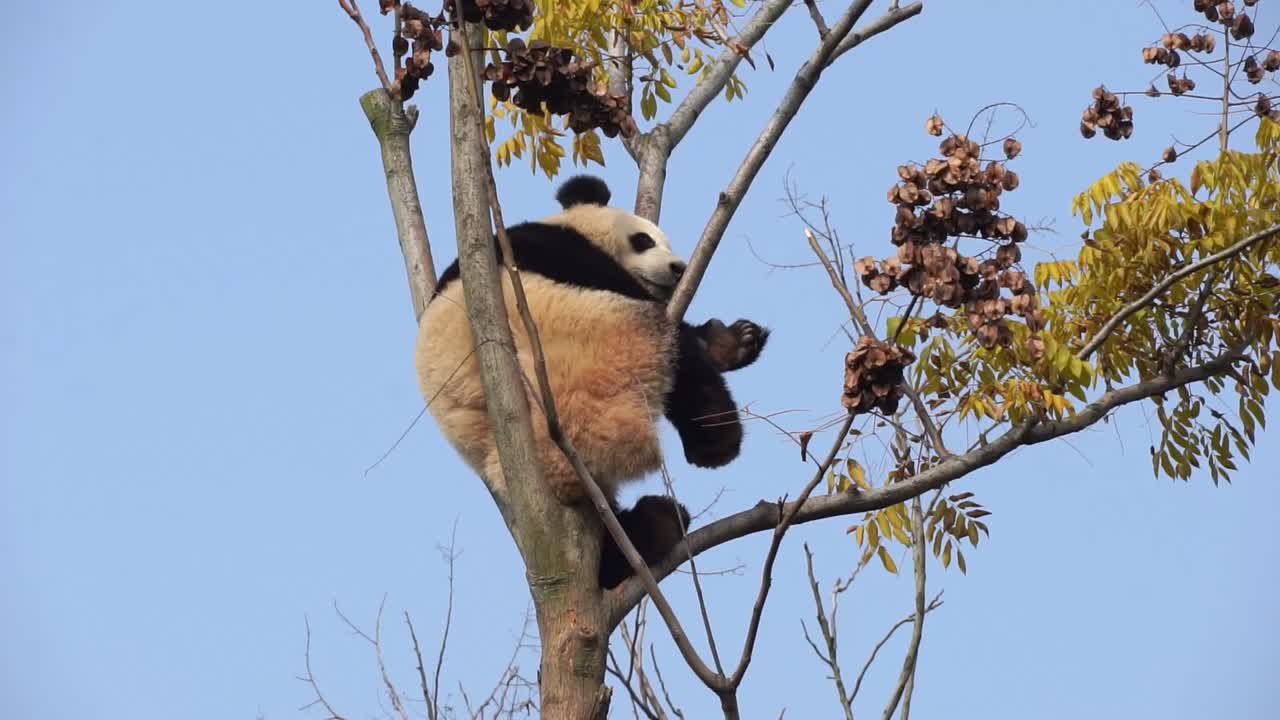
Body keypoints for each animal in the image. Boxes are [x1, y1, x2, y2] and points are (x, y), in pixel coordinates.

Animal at [414, 175, 767, 589]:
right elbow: (621, 283)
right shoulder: (548, 249)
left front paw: (740, 339)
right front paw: (725, 343)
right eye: (644, 240)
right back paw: (713, 442)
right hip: (613, 345)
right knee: (680, 358)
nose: (679, 268)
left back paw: (654, 527)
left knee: (607, 526)